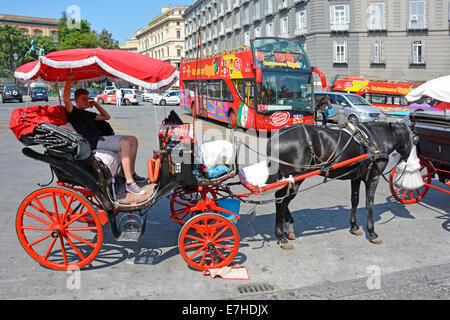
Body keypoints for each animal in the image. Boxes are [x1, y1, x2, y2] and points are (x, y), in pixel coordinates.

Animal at [266, 121, 414, 249]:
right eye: (414, 139)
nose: (407, 159)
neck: (375, 139)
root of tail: (277, 136)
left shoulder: (356, 178)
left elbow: (355, 201)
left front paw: (354, 226)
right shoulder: (373, 178)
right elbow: (369, 204)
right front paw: (372, 233)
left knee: (280, 198)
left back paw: (288, 228)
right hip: (296, 178)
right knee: (281, 200)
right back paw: (281, 235)